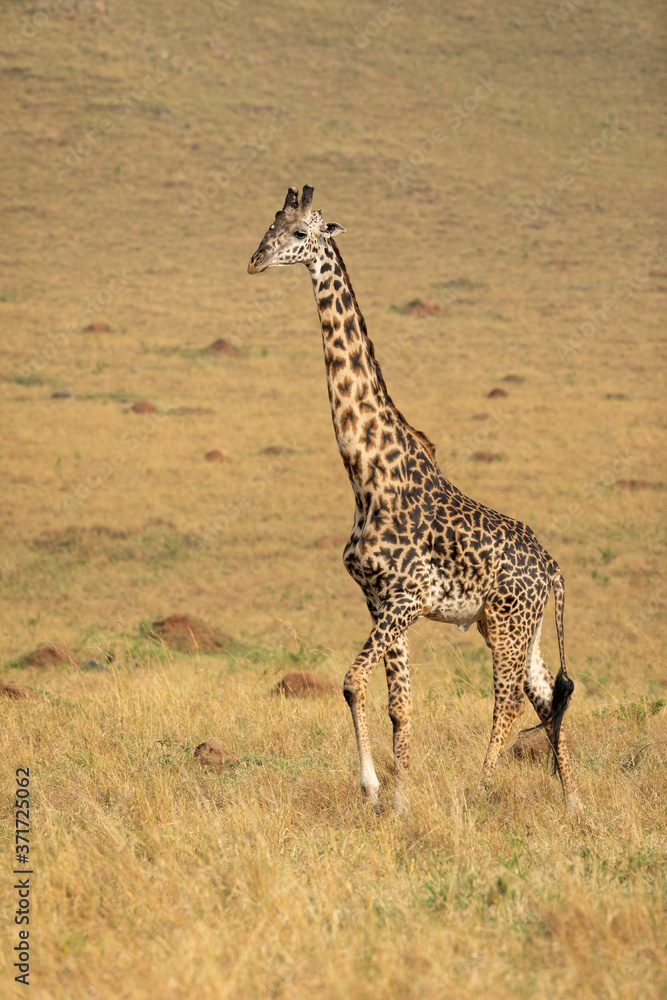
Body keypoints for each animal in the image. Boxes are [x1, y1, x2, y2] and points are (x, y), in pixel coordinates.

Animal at [249, 186, 580, 812]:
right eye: (267, 227)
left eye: (301, 233)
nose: (255, 261)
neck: (365, 473)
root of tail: (552, 568)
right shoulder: (379, 600)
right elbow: (398, 704)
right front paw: (398, 800)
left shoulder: (408, 596)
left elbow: (351, 682)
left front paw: (374, 789)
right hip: (515, 626)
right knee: (548, 696)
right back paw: (572, 801)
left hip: (507, 625)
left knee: (507, 701)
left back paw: (480, 789)